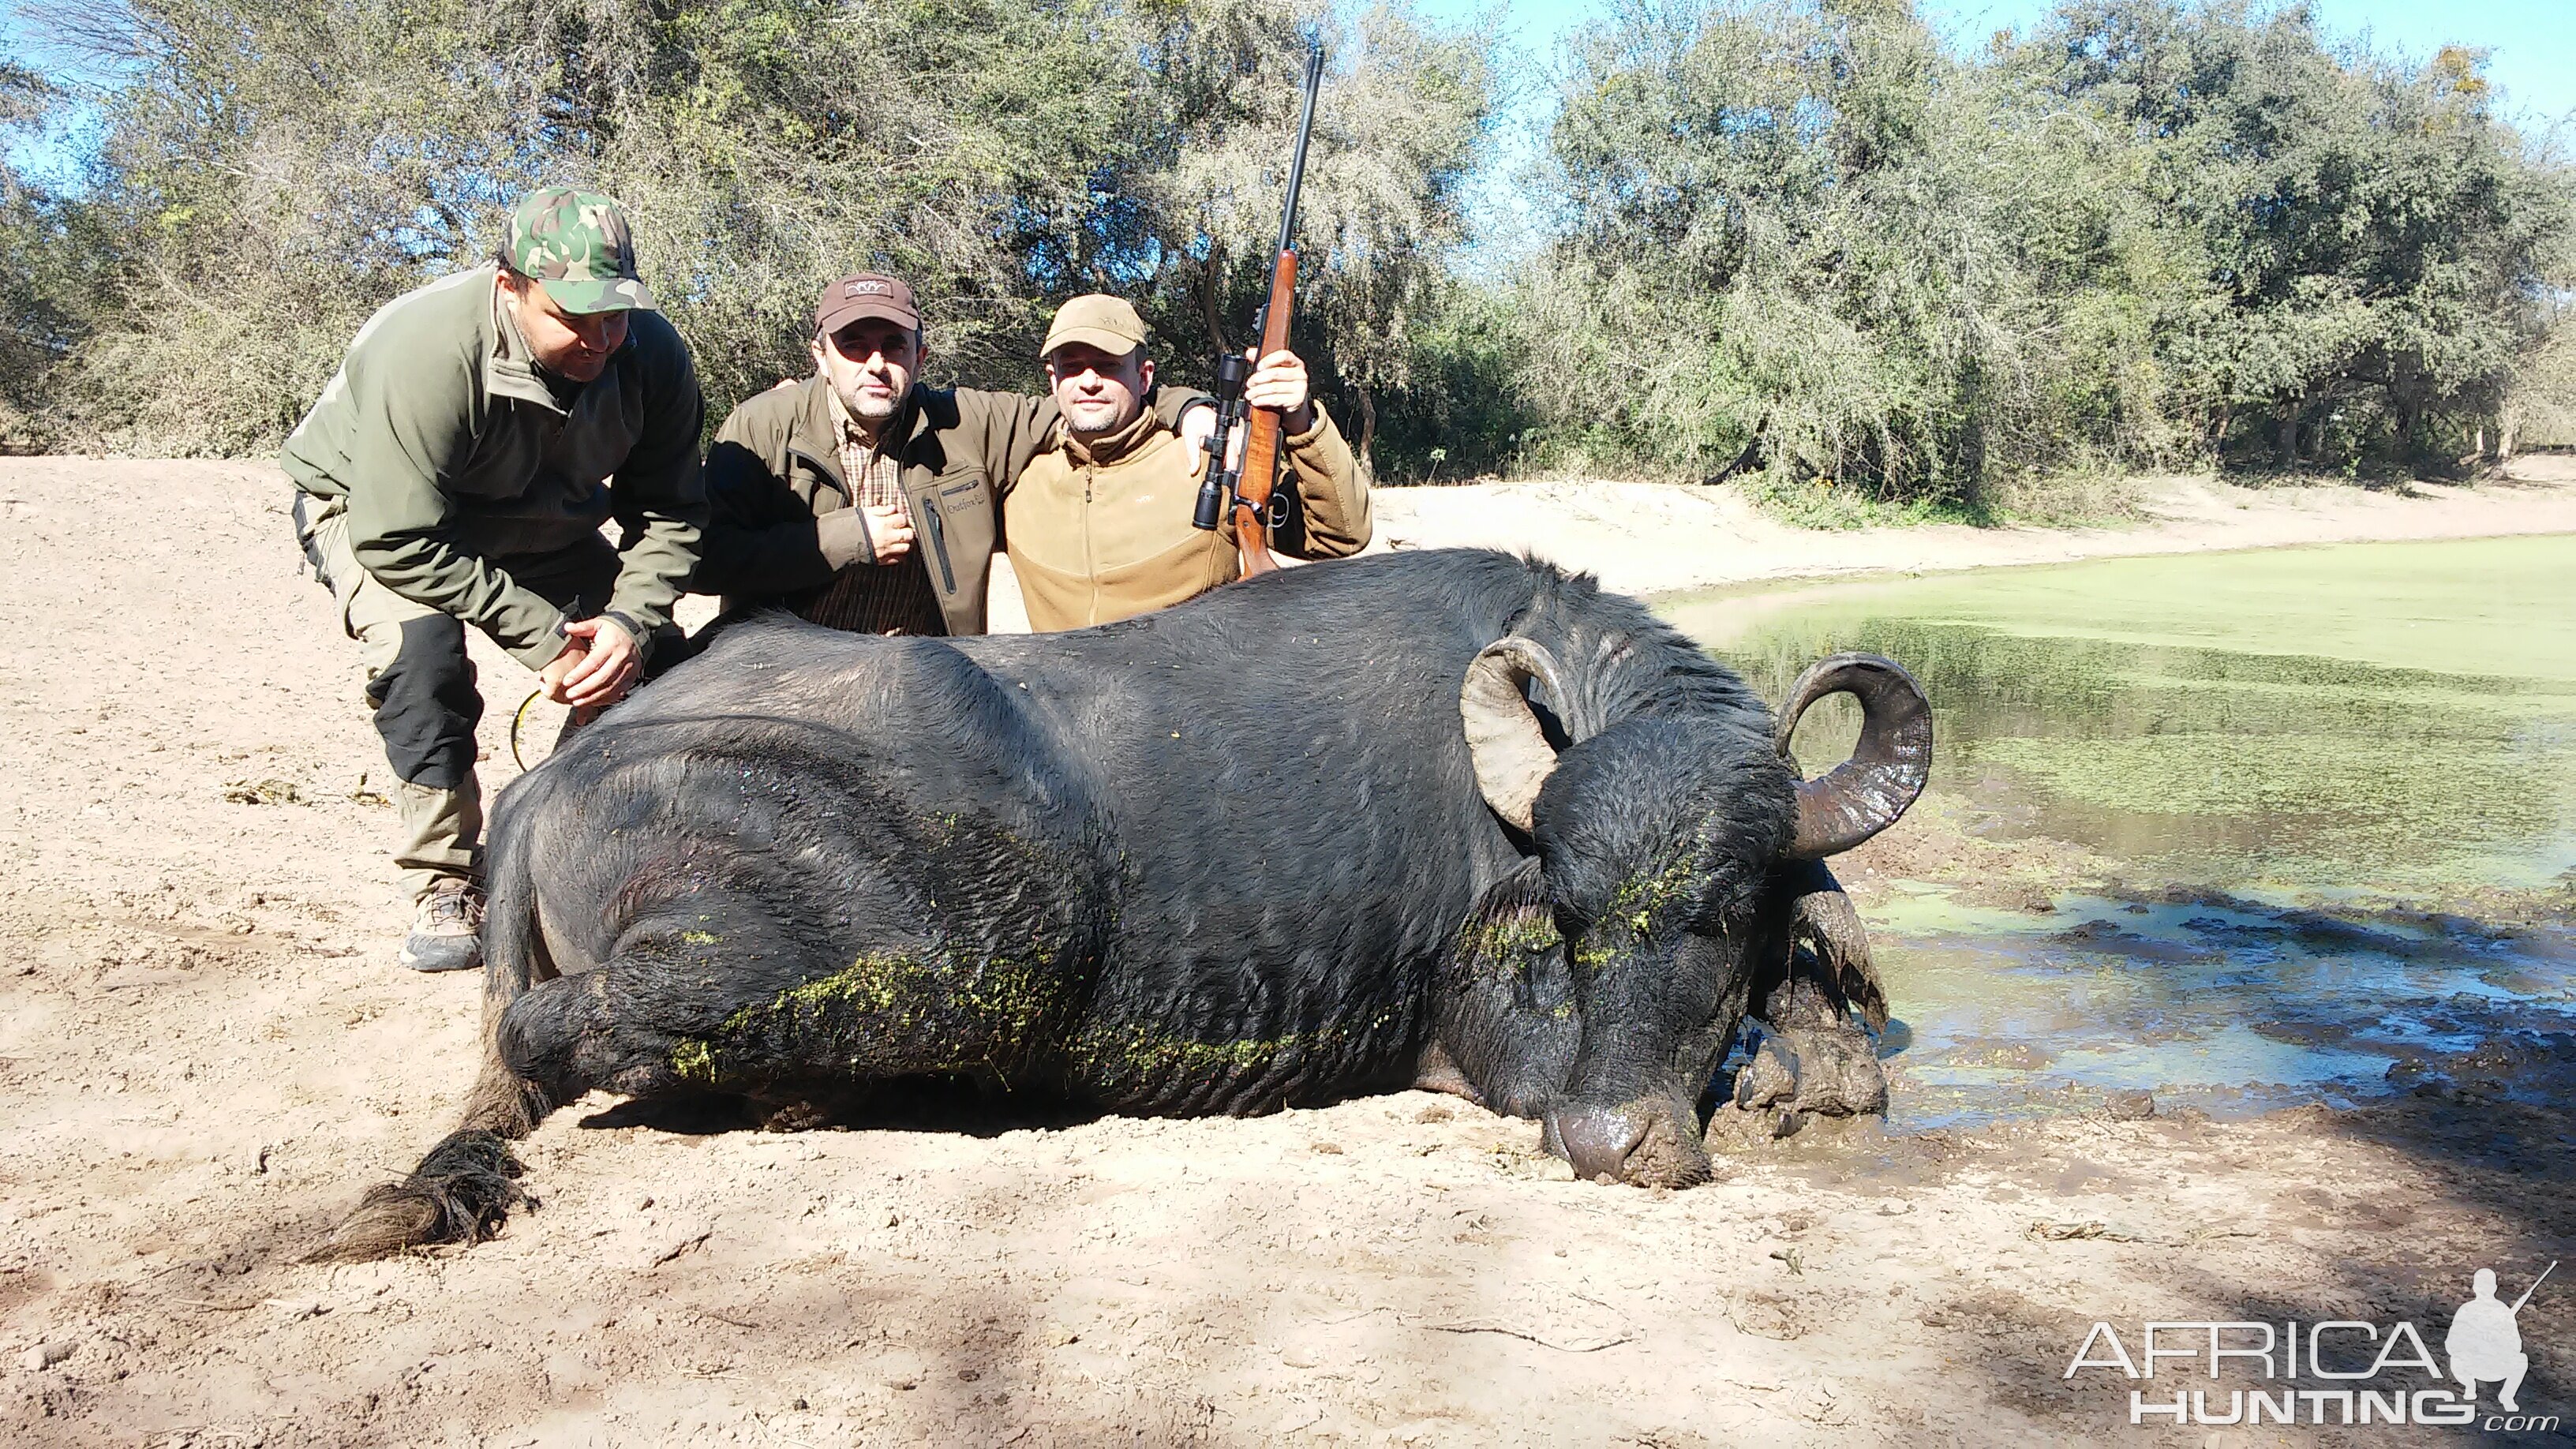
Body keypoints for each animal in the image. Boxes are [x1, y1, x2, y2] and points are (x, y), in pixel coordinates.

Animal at [322, 544, 1926, 1252]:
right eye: (1576, 914)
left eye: (1722, 909)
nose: (1613, 1142)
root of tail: (561, 780)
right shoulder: (1490, 1043)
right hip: (965, 958)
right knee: (549, 1033)